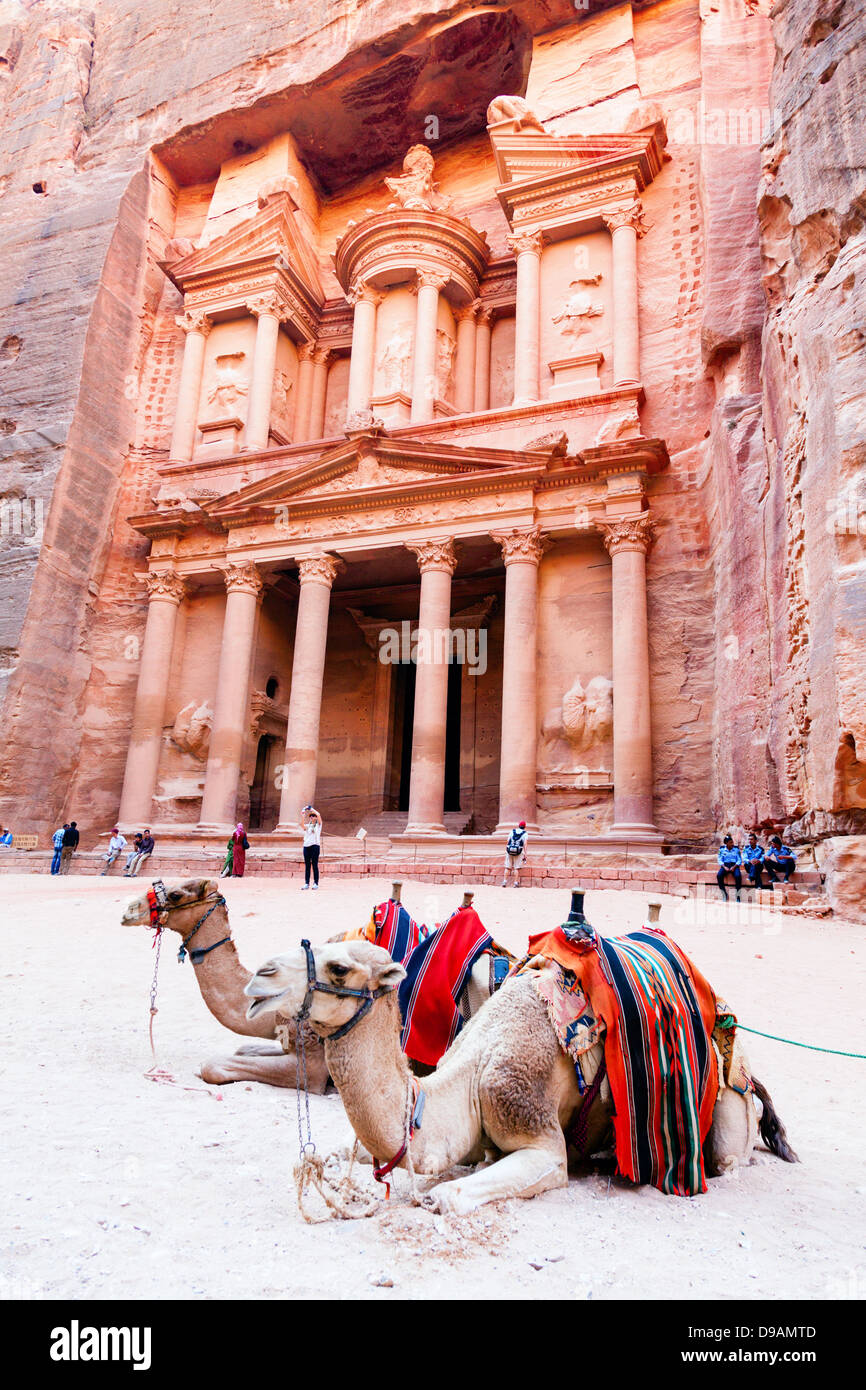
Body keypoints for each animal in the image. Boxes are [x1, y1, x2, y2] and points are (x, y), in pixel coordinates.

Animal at [246, 934, 800, 1217]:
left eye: (338, 968)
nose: (259, 979)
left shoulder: (521, 1113)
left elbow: (446, 1196)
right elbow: (334, 1153)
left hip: (725, 1102)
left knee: (730, 1154)